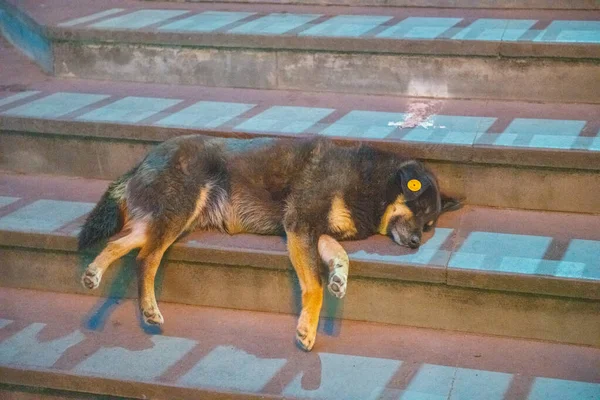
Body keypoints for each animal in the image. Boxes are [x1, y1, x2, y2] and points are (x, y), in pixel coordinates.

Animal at [77, 134, 458, 350]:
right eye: (418, 209)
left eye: (429, 224)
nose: (416, 243)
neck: (371, 184)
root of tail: (143, 159)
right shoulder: (300, 226)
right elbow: (314, 286)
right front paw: (307, 329)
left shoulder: (317, 232)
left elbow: (341, 256)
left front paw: (339, 275)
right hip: (179, 209)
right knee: (146, 258)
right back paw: (148, 309)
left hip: (166, 218)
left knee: (122, 244)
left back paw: (93, 273)